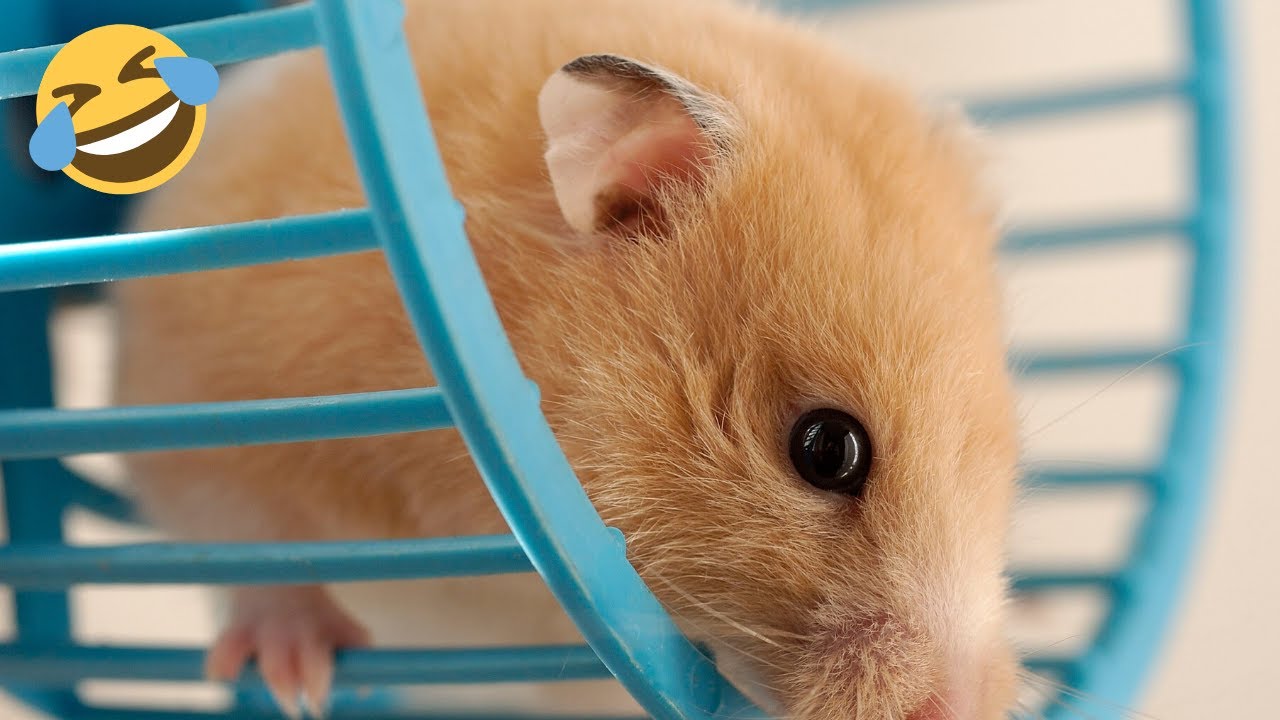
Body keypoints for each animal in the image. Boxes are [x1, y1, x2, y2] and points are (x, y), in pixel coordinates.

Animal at [111, 0, 1021, 718]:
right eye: (827, 448)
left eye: (1001, 459)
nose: (957, 711)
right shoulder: (209, 411)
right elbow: (252, 547)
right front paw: (298, 680)